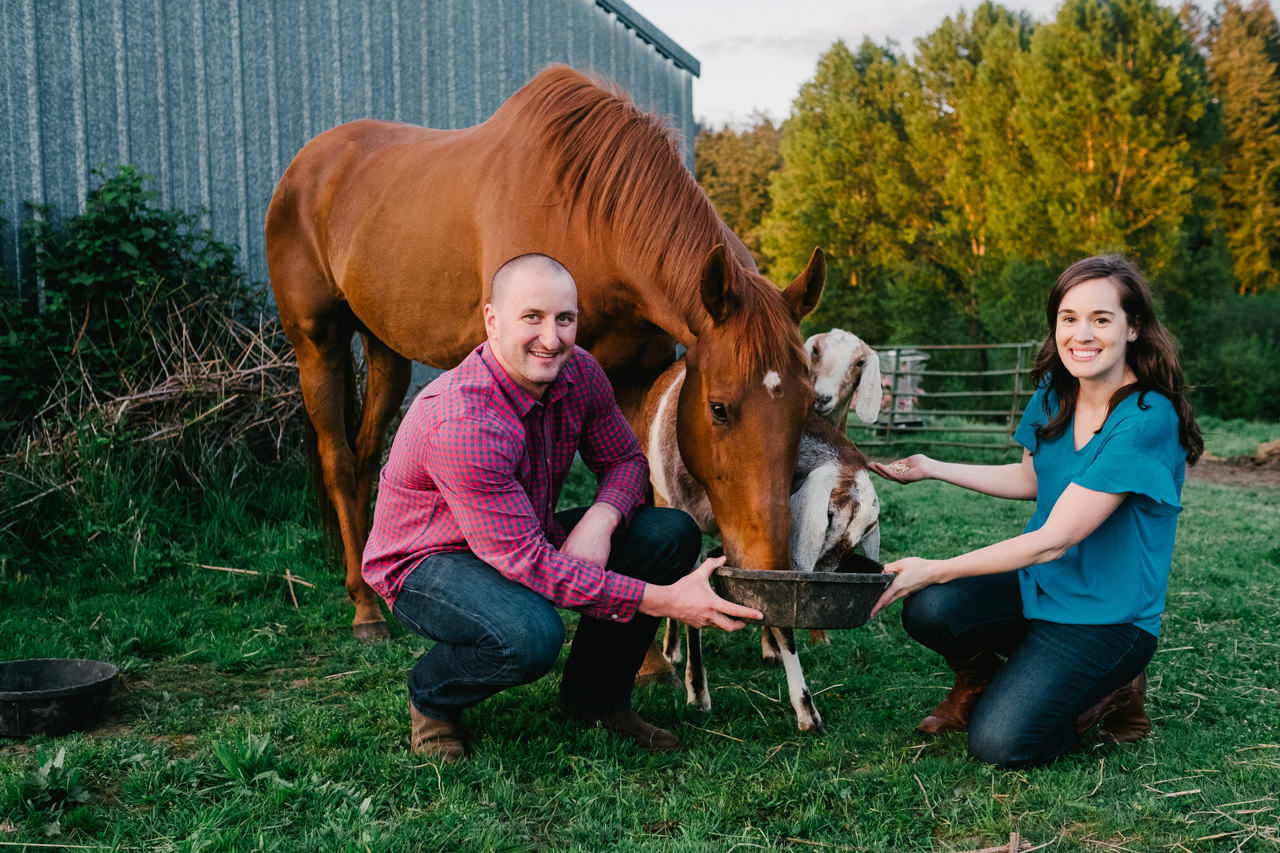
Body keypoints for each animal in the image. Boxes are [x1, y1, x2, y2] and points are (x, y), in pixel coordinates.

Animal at [266, 64, 824, 637]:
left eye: (811, 404)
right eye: (718, 409)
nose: (768, 573)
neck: (589, 223)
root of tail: (305, 167)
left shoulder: (631, 381)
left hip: (385, 349)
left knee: (365, 453)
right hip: (317, 342)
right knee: (337, 459)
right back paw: (365, 608)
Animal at [632, 358, 880, 732]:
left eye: (854, 545)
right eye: (829, 521)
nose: (823, 579)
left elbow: (777, 607)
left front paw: (805, 709)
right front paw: (698, 694)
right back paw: (672, 651)